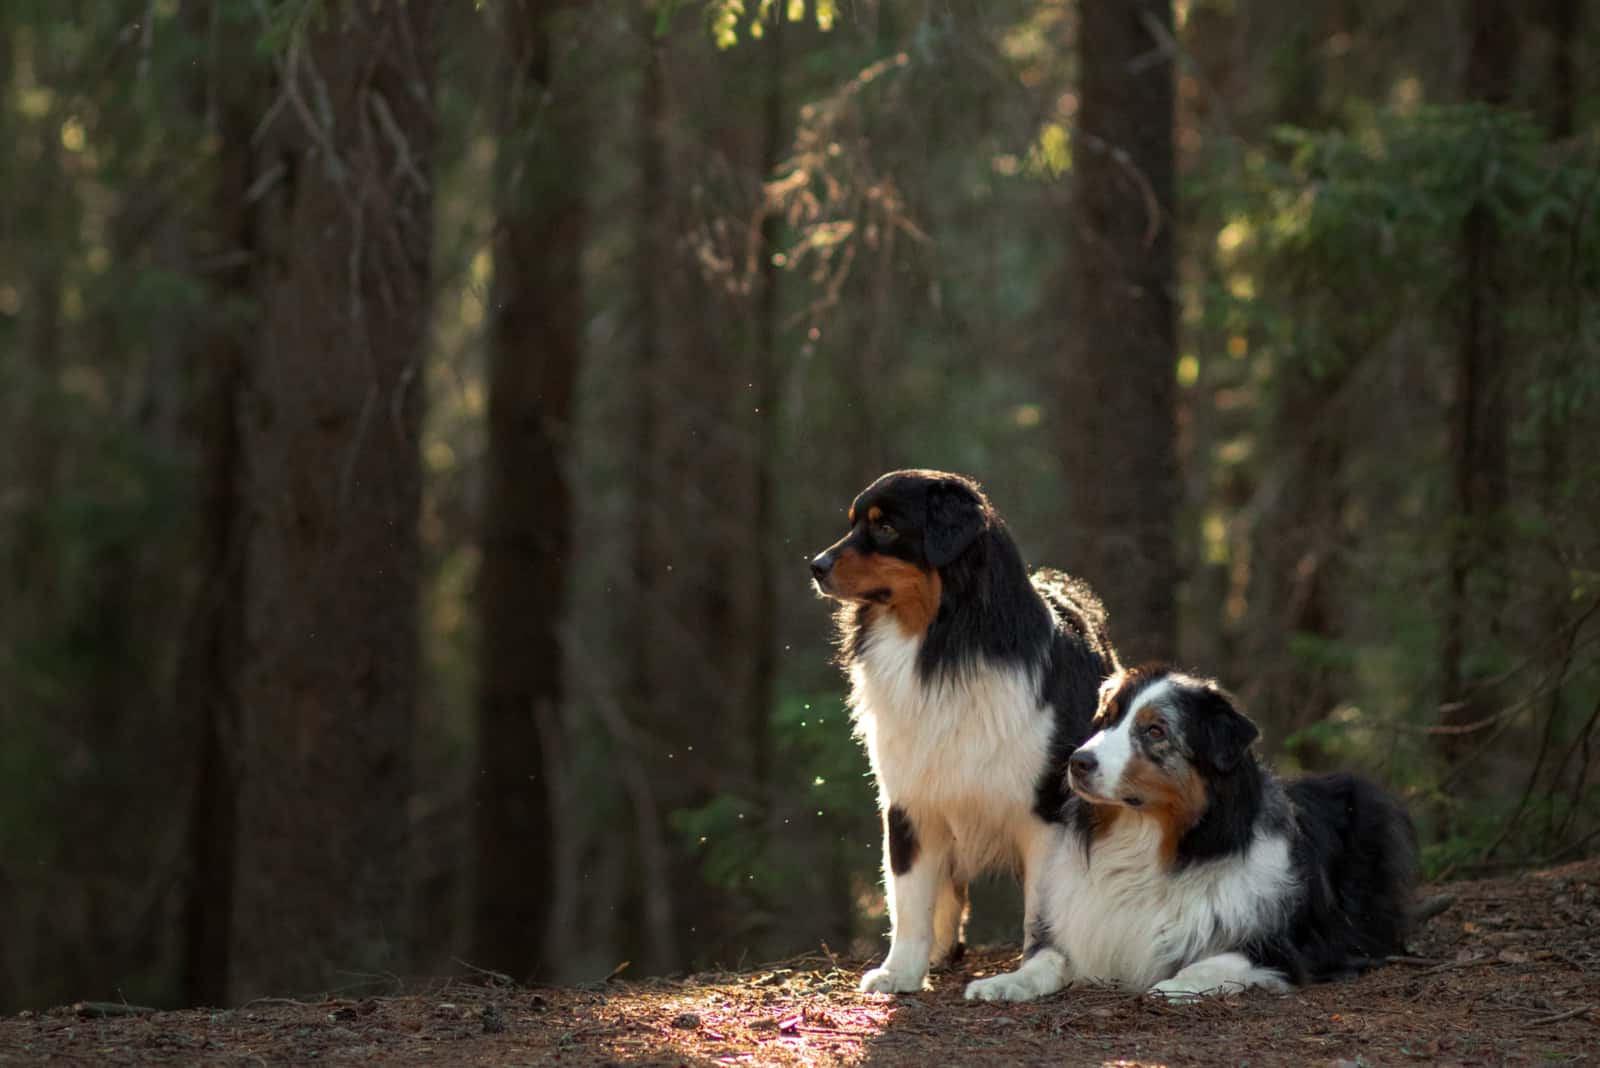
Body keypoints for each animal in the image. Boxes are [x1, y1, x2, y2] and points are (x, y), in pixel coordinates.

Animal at [806, 466, 1120, 991]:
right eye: (854, 523)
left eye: (885, 526)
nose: (815, 565)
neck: (944, 647)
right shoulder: (908, 800)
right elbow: (909, 898)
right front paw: (900, 972)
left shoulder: (1047, 808)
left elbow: (1043, 910)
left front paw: (1030, 976)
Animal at [960, 668, 1414, 1004]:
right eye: (1108, 719)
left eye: (1156, 731)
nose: (1077, 762)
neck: (1146, 842)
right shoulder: (1083, 929)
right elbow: (1045, 959)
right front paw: (1001, 982)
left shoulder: (1279, 949)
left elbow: (1212, 962)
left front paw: (1173, 985)